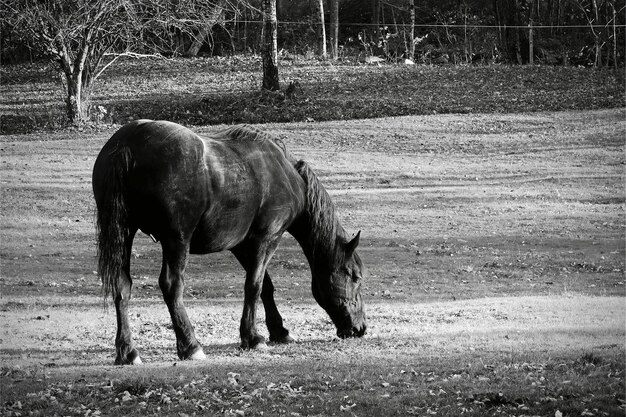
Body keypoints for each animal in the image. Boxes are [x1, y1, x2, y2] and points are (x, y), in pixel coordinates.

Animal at [92, 118, 366, 362]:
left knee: (122, 286)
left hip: (125, 234)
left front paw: (278, 331)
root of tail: (128, 142)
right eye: (354, 276)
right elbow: (254, 286)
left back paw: (128, 352)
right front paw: (253, 338)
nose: (360, 328)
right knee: (171, 286)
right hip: (176, 240)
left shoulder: (242, 245)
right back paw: (190, 345)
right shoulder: (267, 238)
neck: (286, 174)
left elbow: (265, 287)